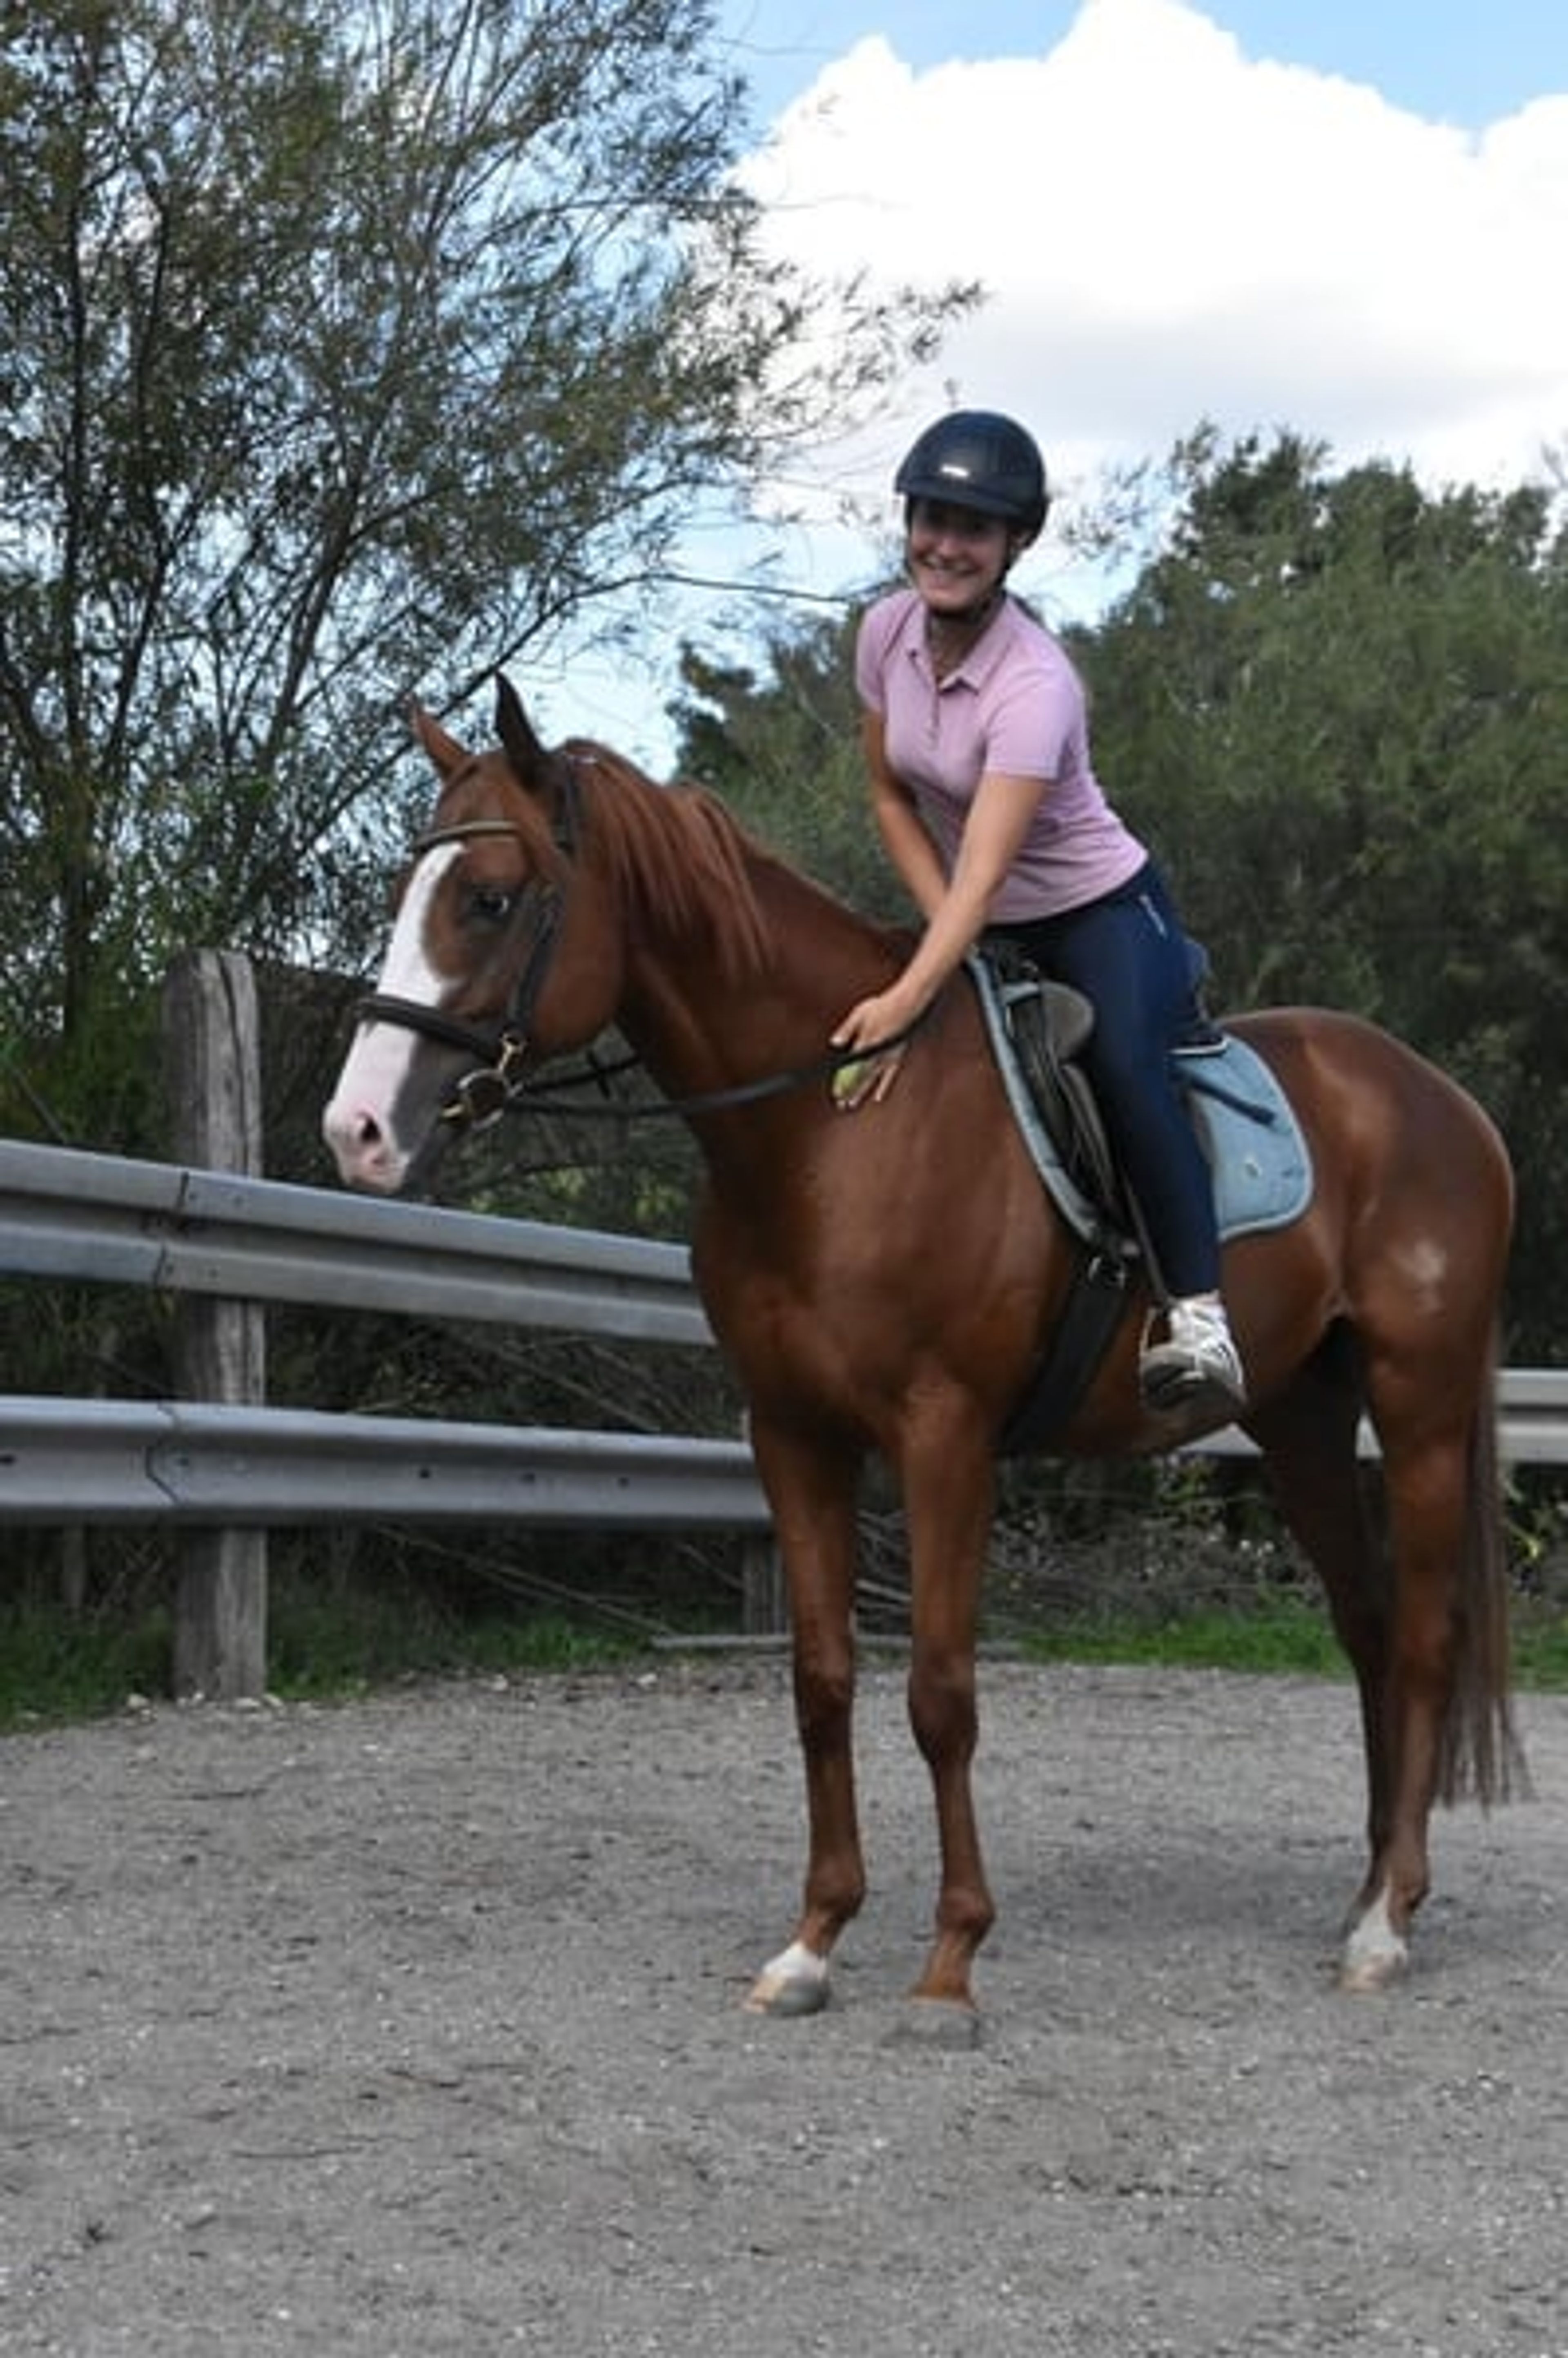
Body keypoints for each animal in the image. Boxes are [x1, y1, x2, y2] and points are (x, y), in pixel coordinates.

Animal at [322, 676, 1521, 2027]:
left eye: (488, 897)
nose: (356, 1129)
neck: (830, 1125)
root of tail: (1442, 1102)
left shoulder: (944, 1434)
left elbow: (940, 1692)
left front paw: (951, 1956)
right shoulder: (792, 1434)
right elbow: (823, 1678)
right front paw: (813, 1939)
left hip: (1418, 1405)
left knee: (1421, 1637)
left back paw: (1386, 1921)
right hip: (1301, 1416)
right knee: (1367, 1624)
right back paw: (1370, 1886)